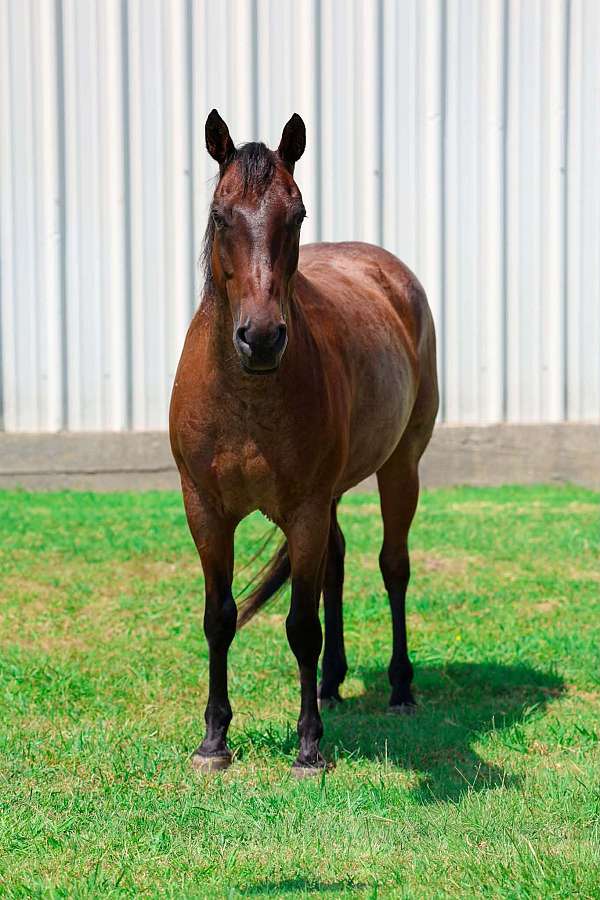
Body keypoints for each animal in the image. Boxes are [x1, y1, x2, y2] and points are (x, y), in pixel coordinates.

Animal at [169, 110, 439, 776]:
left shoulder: (306, 510)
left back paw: (399, 688)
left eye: (296, 215)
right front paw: (213, 741)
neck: (246, 397)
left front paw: (310, 747)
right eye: (220, 215)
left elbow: (301, 627)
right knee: (336, 564)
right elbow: (219, 618)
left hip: (401, 466)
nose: (262, 338)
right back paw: (332, 682)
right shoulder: (205, 510)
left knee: (393, 567)